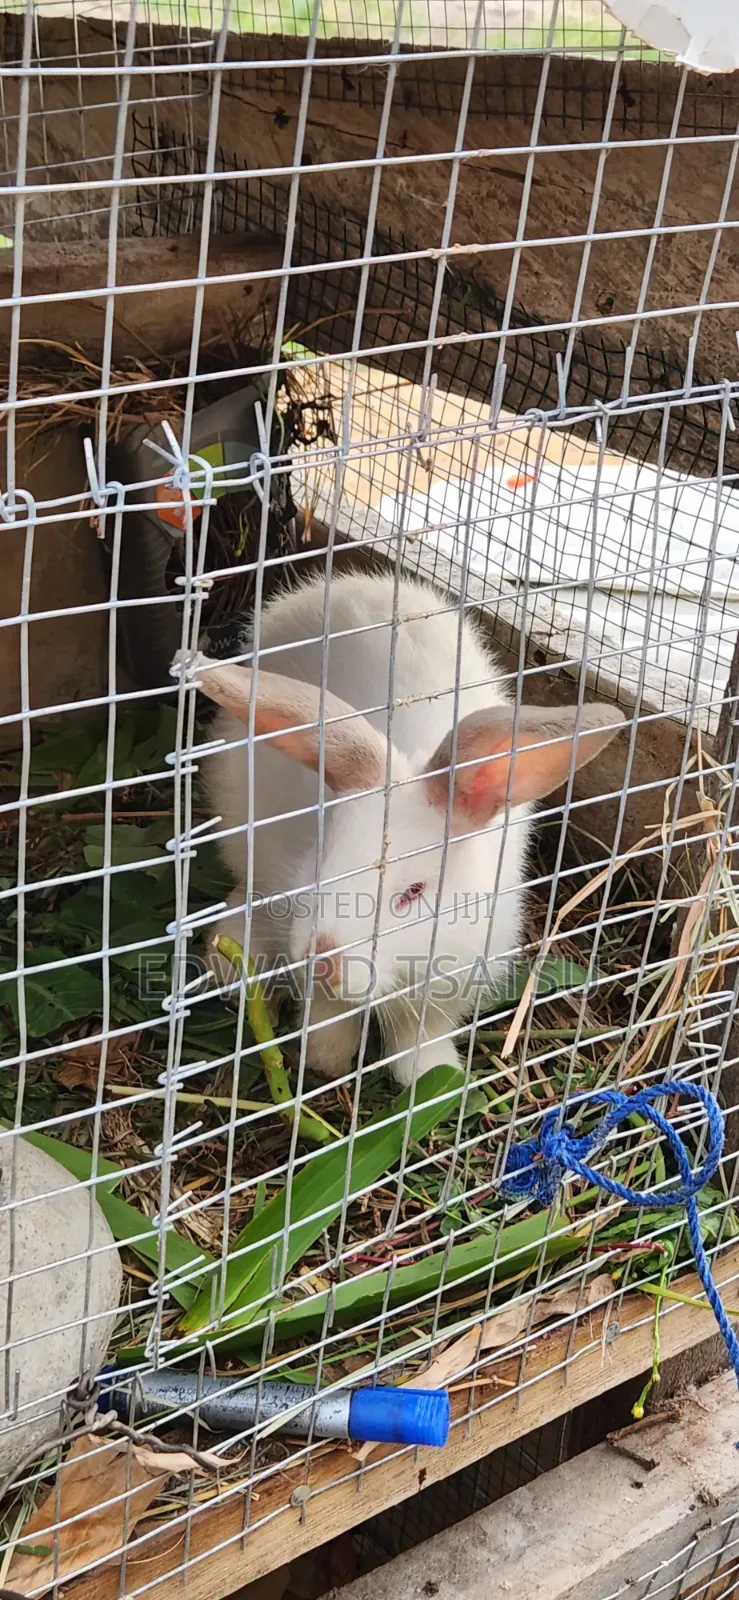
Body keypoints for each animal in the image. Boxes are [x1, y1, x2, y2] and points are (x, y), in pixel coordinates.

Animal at [192, 570, 624, 1086]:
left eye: (414, 892)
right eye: (321, 863)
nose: (323, 959)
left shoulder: (452, 984)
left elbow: (420, 1035)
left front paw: (433, 1077)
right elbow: (329, 1017)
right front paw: (326, 1062)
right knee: (245, 887)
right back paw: (231, 959)